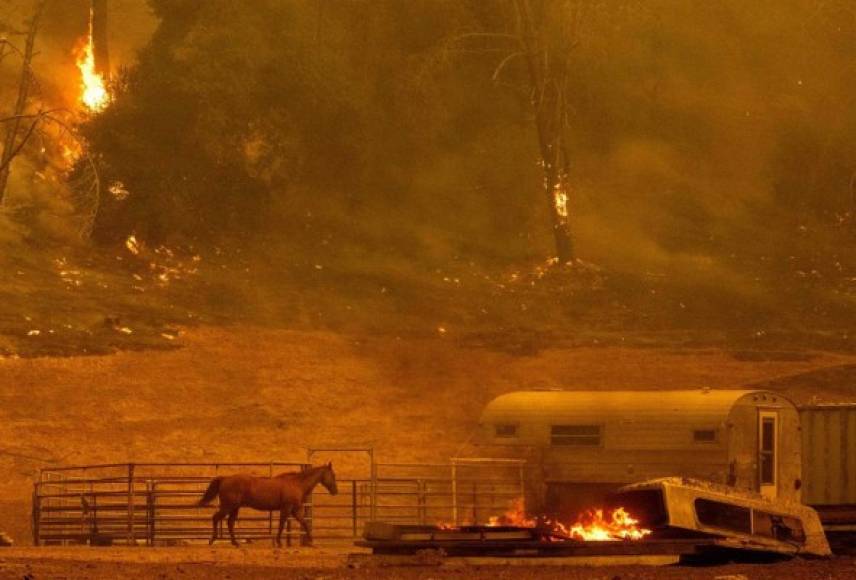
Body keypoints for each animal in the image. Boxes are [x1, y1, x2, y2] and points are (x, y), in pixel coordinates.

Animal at [197, 462, 338, 548]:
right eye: (333, 475)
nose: (335, 491)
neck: (297, 484)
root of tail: (225, 479)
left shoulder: (295, 510)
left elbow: (304, 523)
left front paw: (311, 541)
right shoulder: (286, 508)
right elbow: (282, 524)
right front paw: (279, 542)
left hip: (234, 508)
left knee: (229, 523)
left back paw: (235, 543)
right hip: (228, 506)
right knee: (216, 518)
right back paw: (212, 540)